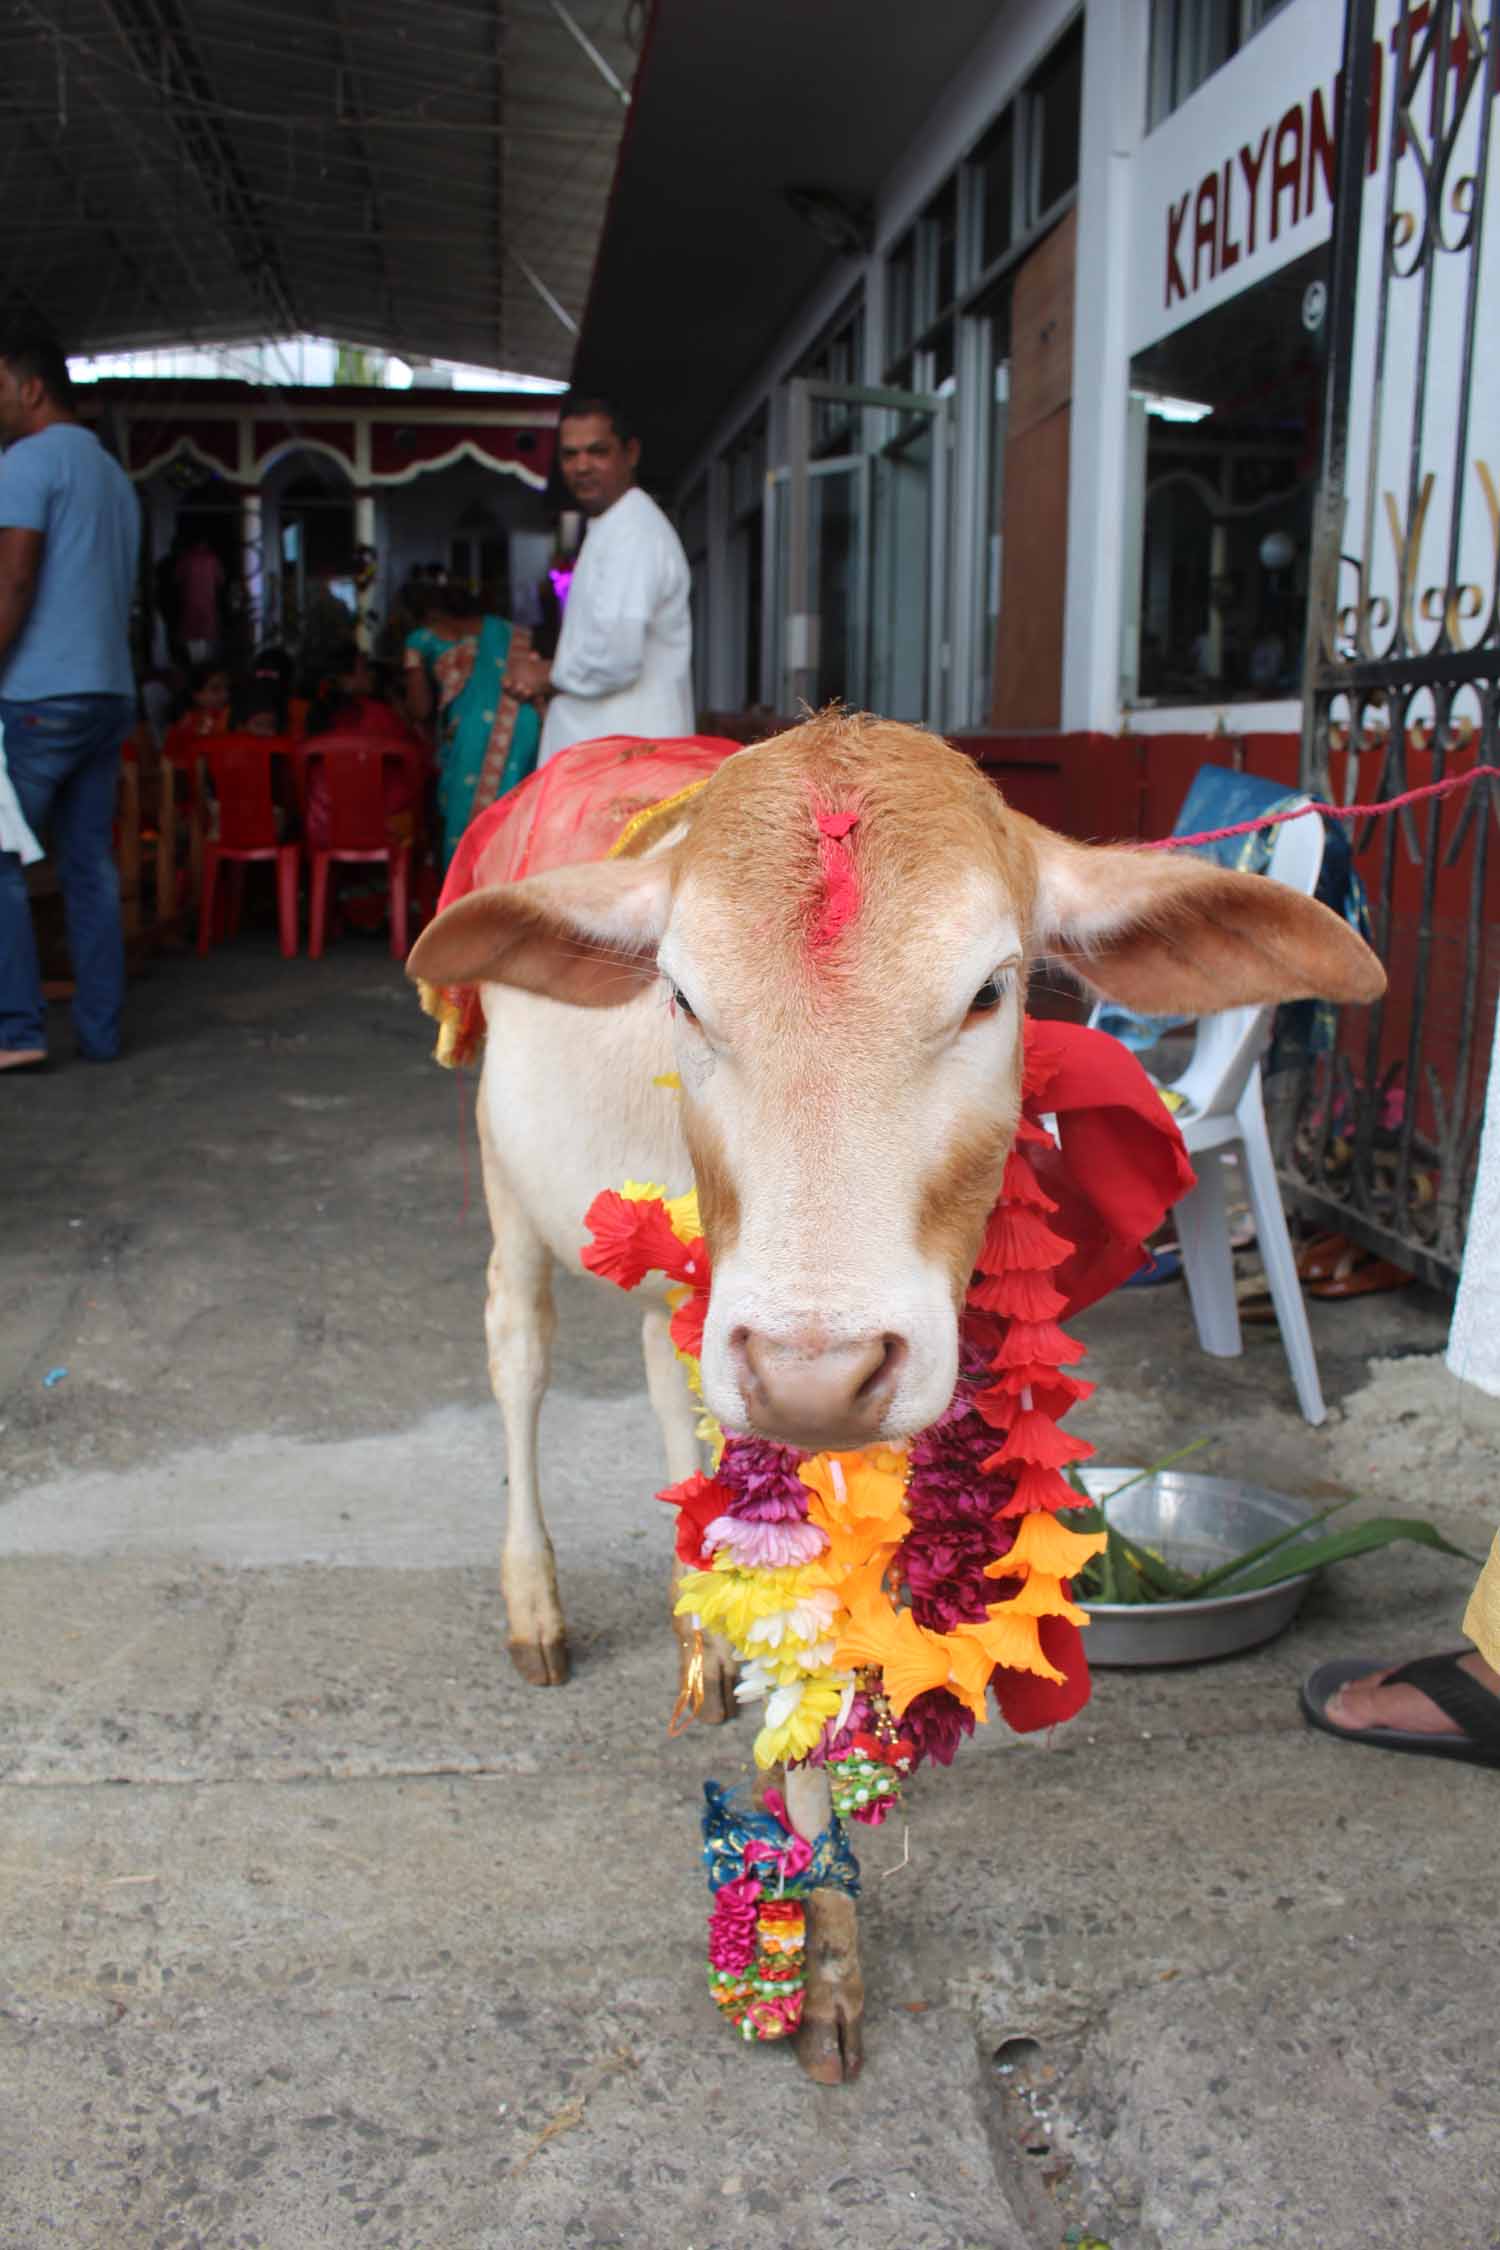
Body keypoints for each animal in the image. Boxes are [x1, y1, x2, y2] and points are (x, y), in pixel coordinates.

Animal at [407, 711, 1385, 2079]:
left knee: (661, 1373)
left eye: (990, 992)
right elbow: (810, 1665)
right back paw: (536, 1603)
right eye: (683, 996)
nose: (815, 1368)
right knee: (519, 1349)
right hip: (507, 1169)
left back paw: (702, 1634)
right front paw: (822, 1957)